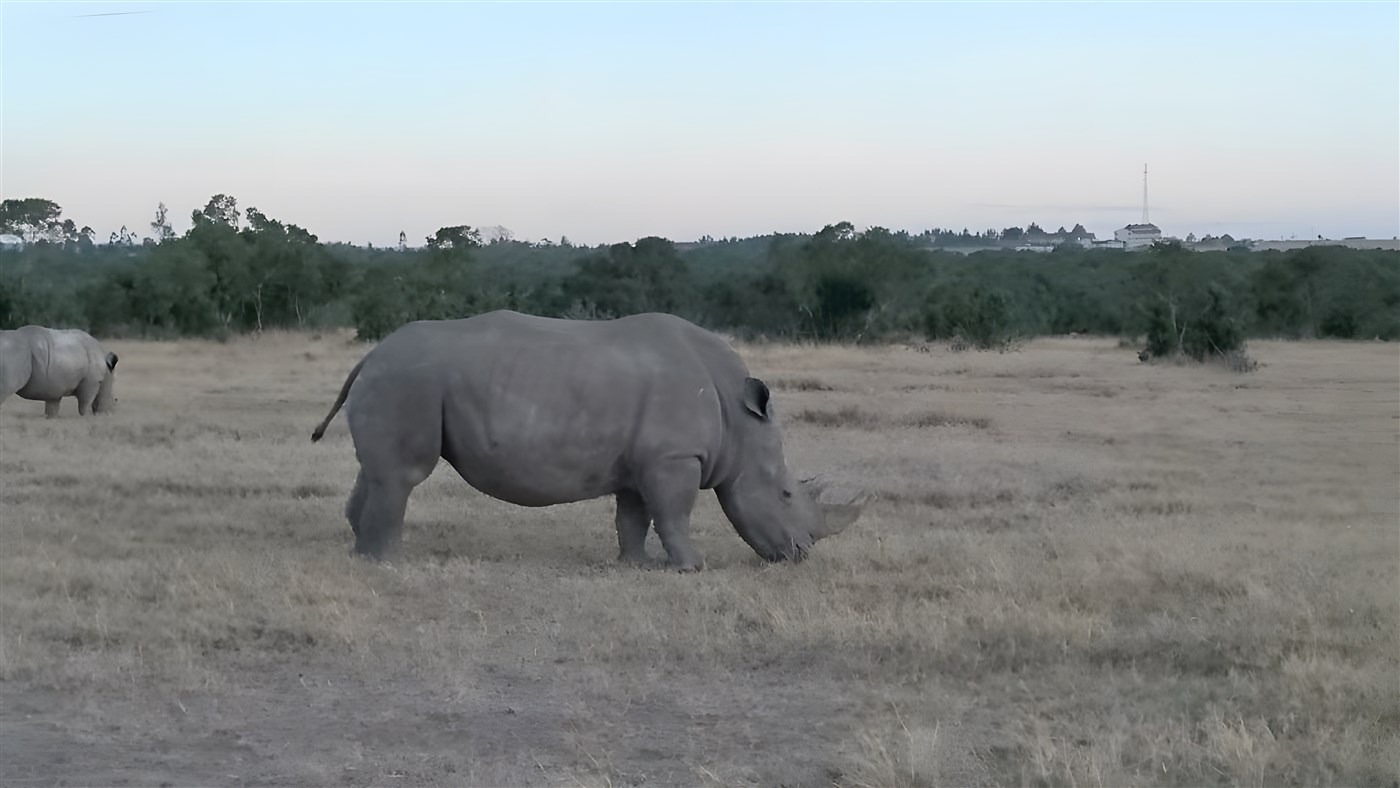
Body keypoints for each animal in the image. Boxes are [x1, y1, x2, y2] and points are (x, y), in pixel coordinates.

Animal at [311, 310, 866, 569]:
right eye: (787, 494)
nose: (800, 555)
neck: (739, 422)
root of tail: (371, 355)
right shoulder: (674, 457)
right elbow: (674, 514)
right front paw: (692, 568)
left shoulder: (646, 462)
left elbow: (634, 517)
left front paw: (636, 566)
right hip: (411, 382)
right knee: (403, 475)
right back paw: (390, 562)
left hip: (397, 381)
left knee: (376, 472)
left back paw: (360, 556)